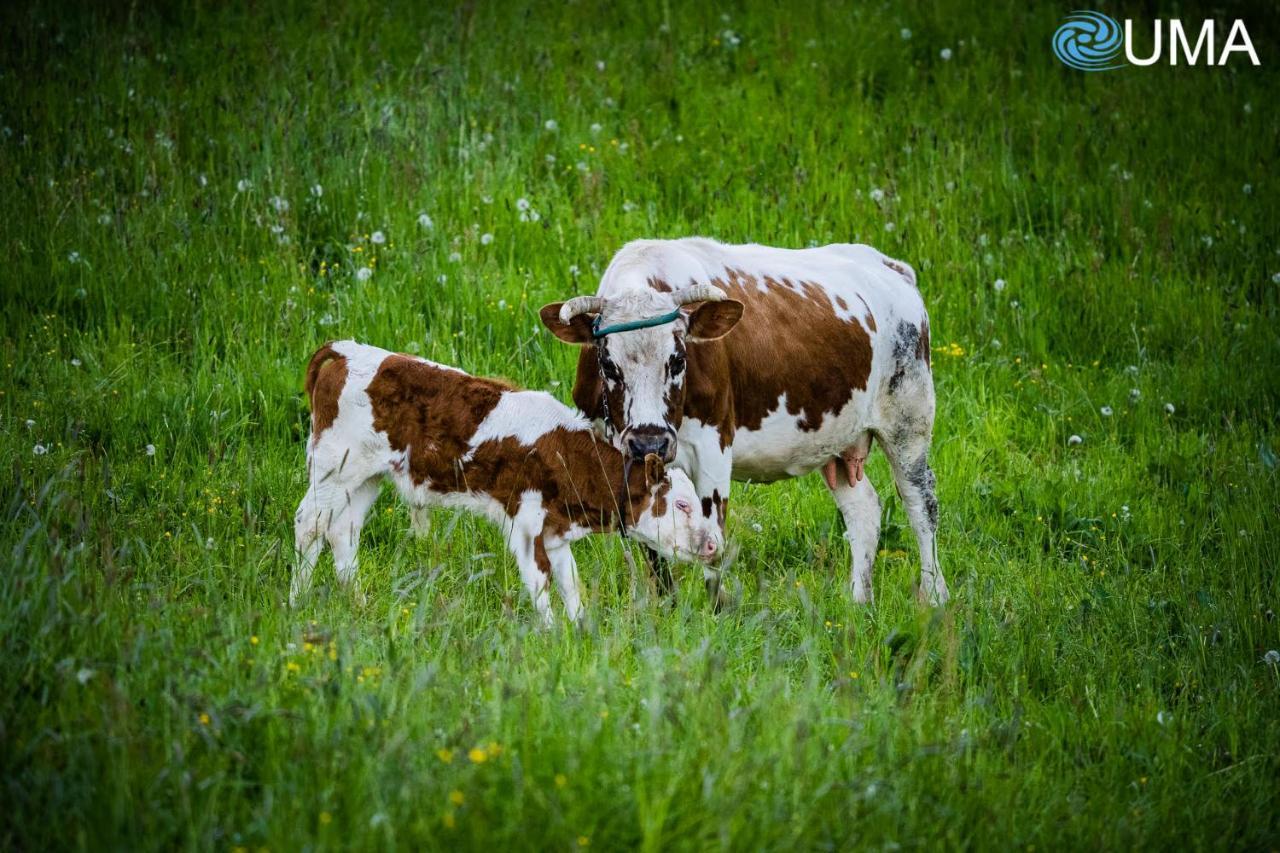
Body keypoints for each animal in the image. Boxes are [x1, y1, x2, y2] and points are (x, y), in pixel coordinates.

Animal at [293, 335, 727, 622]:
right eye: (682, 504)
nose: (713, 546)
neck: (563, 452)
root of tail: (347, 351)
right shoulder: (525, 525)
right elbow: (540, 583)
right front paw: (551, 635)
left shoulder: (556, 532)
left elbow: (570, 584)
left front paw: (579, 631)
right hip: (333, 469)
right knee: (309, 526)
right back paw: (296, 603)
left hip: (364, 480)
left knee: (343, 532)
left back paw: (358, 603)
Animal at [540, 235, 952, 601]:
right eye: (608, 364)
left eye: (679, 359)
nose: (649, 442)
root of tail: (890, 266)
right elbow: (651, 545)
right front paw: (665, 608)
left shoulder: (713, 446)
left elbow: (713, 538)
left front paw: (715, 612)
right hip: (836, 436)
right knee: (863, 508)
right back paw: (858, 601)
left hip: (909, 419)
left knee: (921, 504)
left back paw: (935, 595)